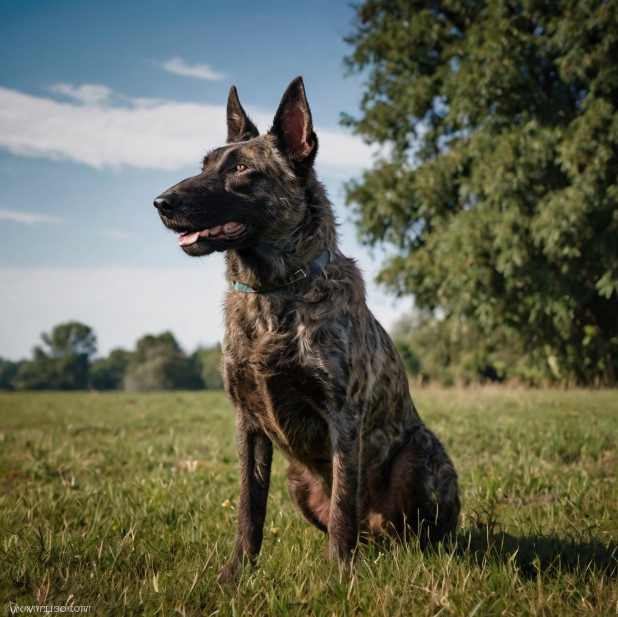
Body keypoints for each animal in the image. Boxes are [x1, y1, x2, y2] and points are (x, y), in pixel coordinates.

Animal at [153, 77, 458, 584]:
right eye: (204, 166)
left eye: (241, 169)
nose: (161, 203)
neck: (275, 293)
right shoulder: (247, 423)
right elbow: (249, 507)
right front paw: (236, 574)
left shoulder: (343, 416)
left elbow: (342, 505)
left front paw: (337, 577)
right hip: (297, 479)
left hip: (420, 452)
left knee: (408, 532)